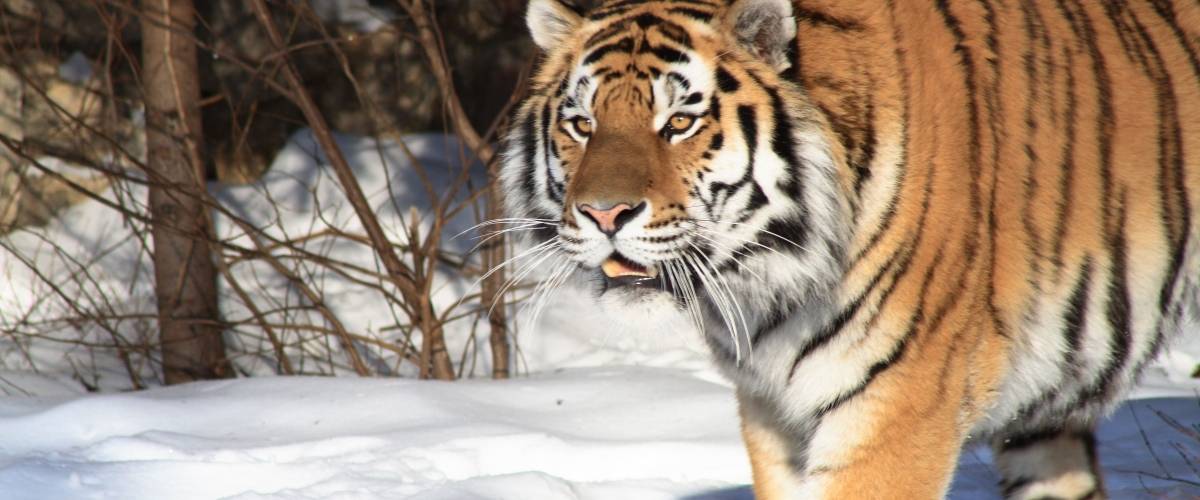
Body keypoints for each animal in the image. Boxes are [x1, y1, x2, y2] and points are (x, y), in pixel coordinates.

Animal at [496, 0, 1200, 494]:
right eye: (581, 124)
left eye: (680, 122)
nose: (603, 213)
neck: (767, 282)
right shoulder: (772, 414)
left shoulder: (900, 409)